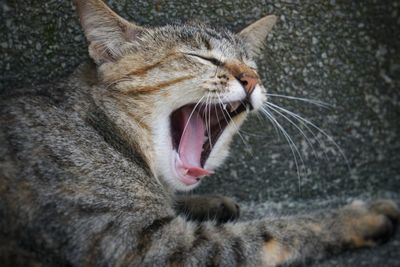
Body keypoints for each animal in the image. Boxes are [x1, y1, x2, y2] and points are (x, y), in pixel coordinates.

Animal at [0, 0, 398, 266]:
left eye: (252, 65)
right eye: (202, 57)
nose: (251, 79)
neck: (103, 128)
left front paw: (209, 203)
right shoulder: (153, 247)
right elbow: (276, 232)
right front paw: (357, 217)